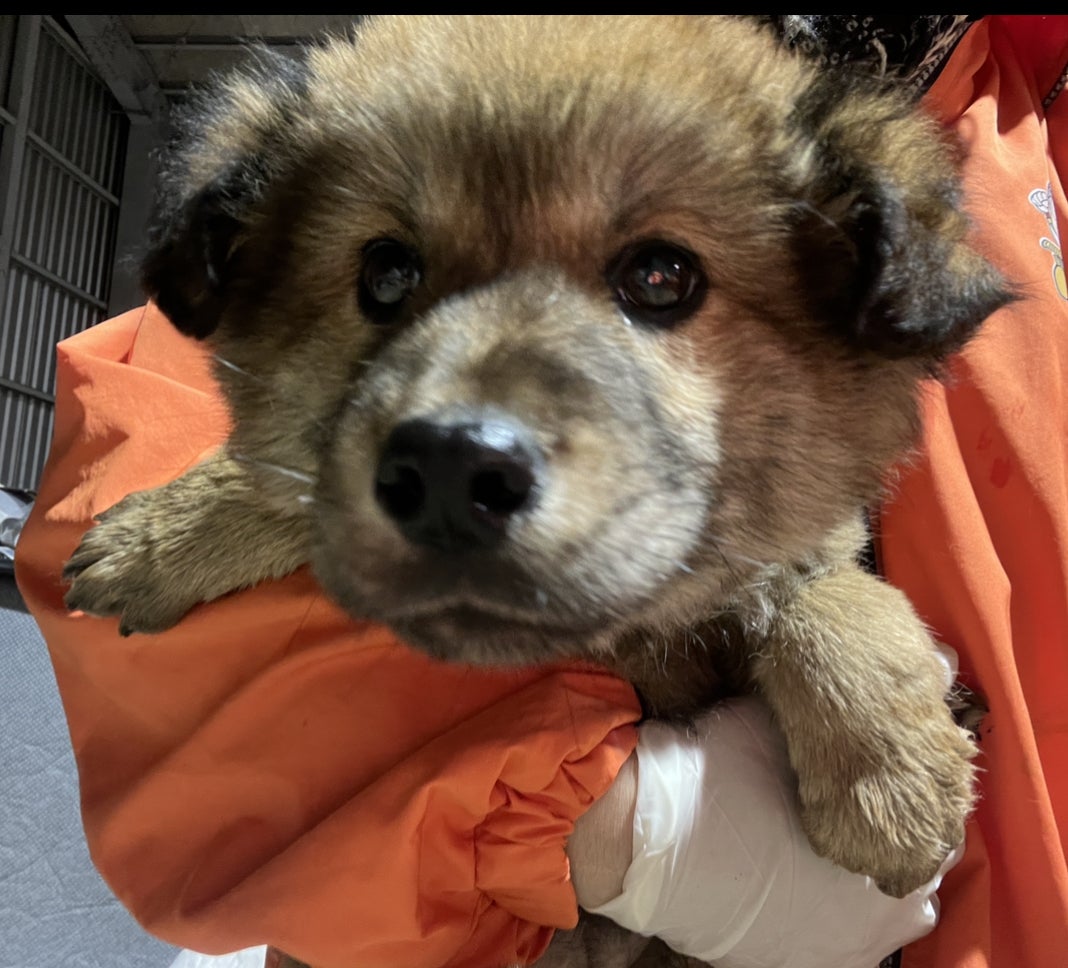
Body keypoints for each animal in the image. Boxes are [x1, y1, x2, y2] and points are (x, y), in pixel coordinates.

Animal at [64, 15, 1010, 967]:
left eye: (661, 277)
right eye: (386, 275)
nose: (451, 471)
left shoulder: (818, 546)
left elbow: (836, 603)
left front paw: (892, 786)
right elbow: (286, 482)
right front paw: (165, 535)